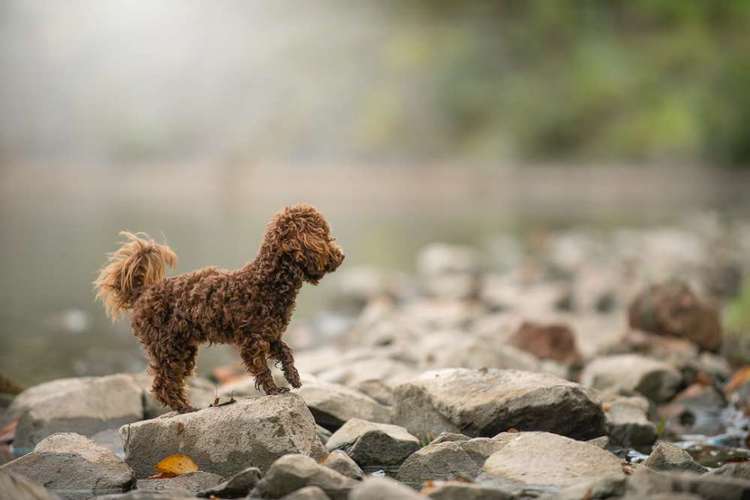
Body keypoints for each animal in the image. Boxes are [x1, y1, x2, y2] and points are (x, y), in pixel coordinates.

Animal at [92, 205, 346, 412]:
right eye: (324, 236)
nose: (342, 255)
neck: (268, 281)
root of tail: (143, 291)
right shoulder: (252, 341)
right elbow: (262, 369)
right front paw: (274, 390)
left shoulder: (271, 333)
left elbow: (286, 352)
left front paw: (293, 378)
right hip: (167, 347)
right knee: (163, 384)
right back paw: (184, 408)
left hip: (183, 348)